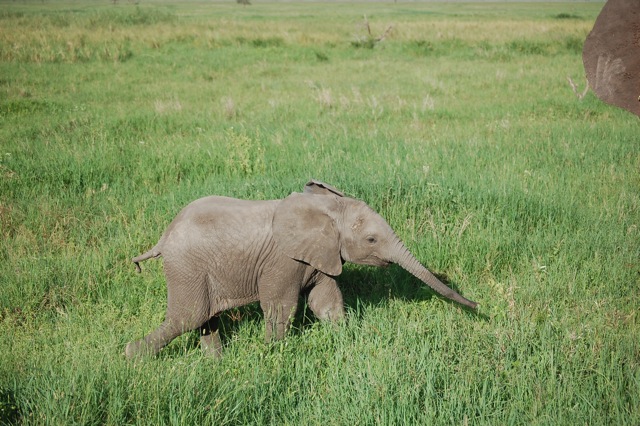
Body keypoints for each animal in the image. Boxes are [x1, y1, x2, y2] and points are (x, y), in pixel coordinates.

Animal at [125, 181, 478, 360]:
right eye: (371, 239)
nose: (478, 306)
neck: (327, 208)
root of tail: (163, 237)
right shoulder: (283, 260)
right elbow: (281, 306)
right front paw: (273, 354)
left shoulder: (321, 255)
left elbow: (326, 302)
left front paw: (346, 339)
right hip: (186, 267)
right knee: (189, 317)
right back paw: (133, 357)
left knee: (204, 319)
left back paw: (218, 363)